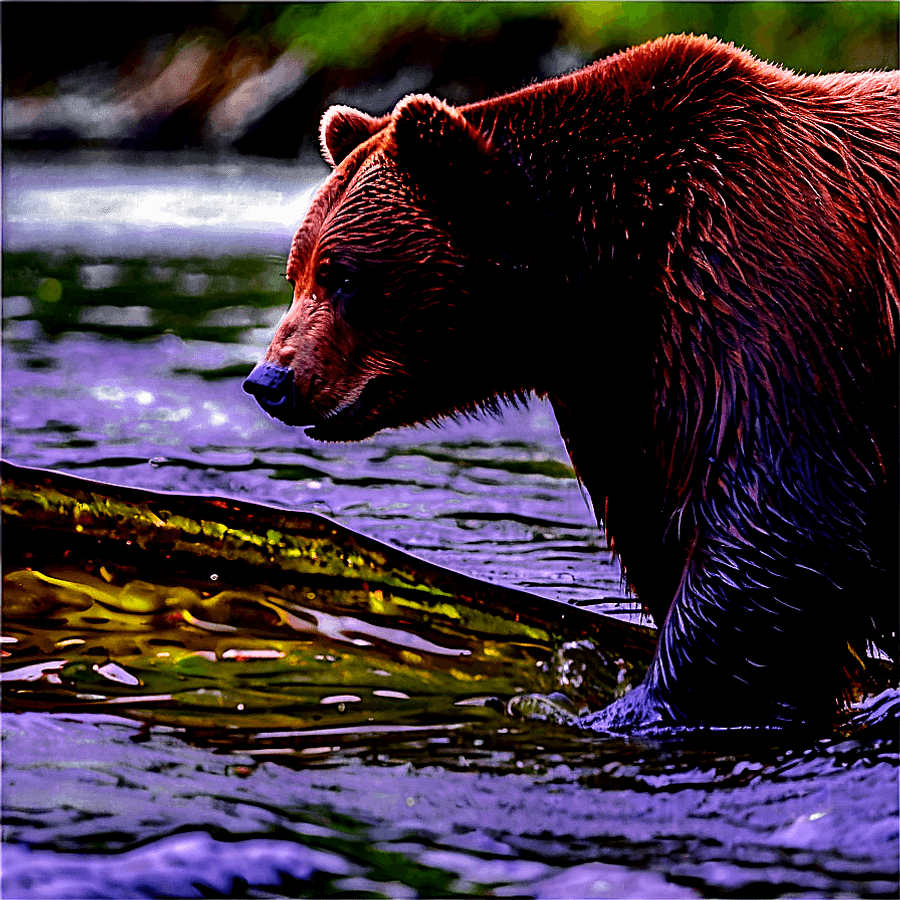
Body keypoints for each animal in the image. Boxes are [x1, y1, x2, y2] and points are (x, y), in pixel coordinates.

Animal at [244, 34, 899, 731]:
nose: (271, 378)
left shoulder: (759, 286)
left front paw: (629, 707)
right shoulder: (625, 398)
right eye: (296, 272)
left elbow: (786, 513)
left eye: (342, 276)